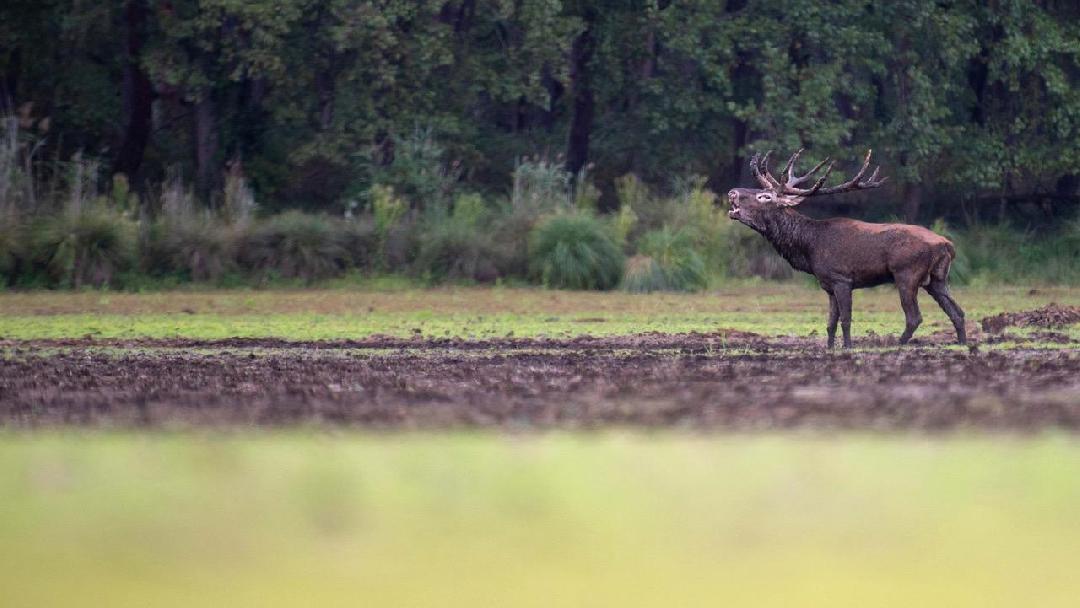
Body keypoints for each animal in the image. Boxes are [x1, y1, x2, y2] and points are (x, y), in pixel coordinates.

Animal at [725, 150, 972, 349]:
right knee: (957, 312)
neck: (808, 248)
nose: (732, 192)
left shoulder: (842, 278)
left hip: (907, 273)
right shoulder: (827, 284)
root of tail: (948, 245)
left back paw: (897, 344)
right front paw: (829, 348)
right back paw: (962, 343)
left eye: (764, 196)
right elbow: (830, 322)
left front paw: (847, 347)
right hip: (937, 279)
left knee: (914, 317)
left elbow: (845, 319)